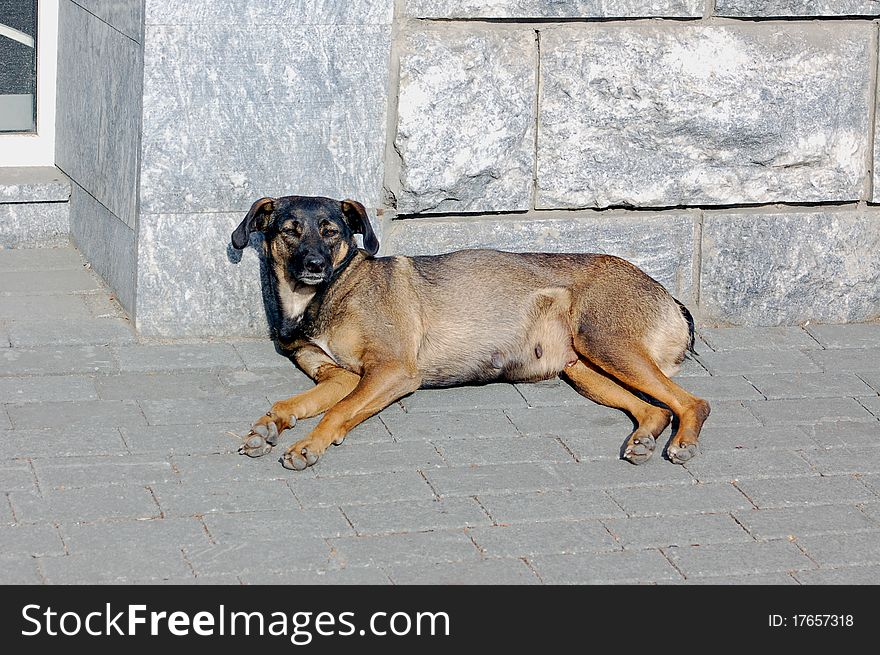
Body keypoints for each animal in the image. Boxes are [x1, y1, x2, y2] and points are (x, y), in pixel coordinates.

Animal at [232, 195, 708, 472]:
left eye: (331, 233)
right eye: (290, 231)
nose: (314, 264)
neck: (323, 296)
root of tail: (668, 296)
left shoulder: (391, 371)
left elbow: (336, 413)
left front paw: (308, 446)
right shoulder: (339, 377)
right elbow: (291, 403)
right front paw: (269, 426)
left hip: (606, 343)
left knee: (692, 403)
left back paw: (682, 442)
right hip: (584, 369)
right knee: (654, 410)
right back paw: (644, 439)